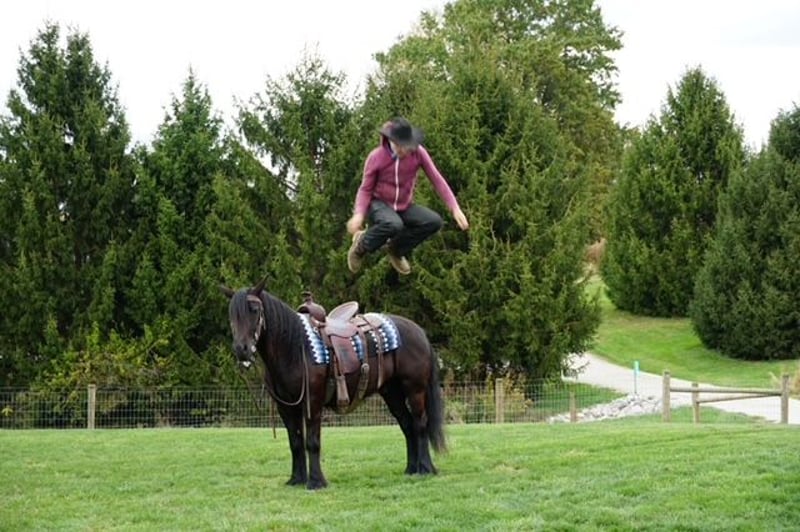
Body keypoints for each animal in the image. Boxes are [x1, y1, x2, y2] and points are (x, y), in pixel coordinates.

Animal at [220, 277, 446, 489]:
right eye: (231, 314)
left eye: (255, 310)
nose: (241, 349)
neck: (295, 347)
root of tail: (419, 331)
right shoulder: (286, 407)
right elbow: (295, 442)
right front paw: (296, 479)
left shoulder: (312, 402)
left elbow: (312, 442)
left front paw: (316, 482)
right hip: (392, 393)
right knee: (407, 425)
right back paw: (411, 469)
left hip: (415, 390)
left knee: (419, 424)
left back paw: (425, 468)